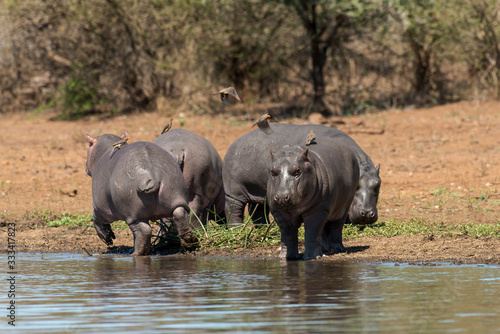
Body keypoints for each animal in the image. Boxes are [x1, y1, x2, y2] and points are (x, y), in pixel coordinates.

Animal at [224, 124, 382, 228]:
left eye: (378, 184)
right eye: (356, 186)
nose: (366, 213)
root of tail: (234, 142)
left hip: (259, 191)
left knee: (257, 211)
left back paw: (266, 227)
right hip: (234, 191)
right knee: (234, 209)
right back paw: (236, 229)